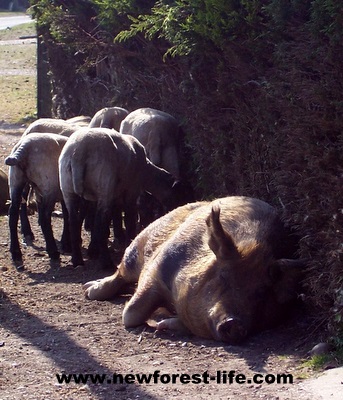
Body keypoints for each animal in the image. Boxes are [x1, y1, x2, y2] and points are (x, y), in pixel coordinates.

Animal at [5, 132, 69, 262]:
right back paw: (53, 252)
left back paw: (16, 252)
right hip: (49, 186)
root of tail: (24, 147)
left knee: (13, 213)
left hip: (16, 181)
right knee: (45, 217)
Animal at [60, 128, 192, 268]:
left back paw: (77, 259)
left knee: (73, 221)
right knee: (100, 223)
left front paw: (93, 249)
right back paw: (106, 263)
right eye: (181, 195)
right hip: (105, 185)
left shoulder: (103, 196)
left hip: (68, 188)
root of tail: (79, 153)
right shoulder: (131, 191)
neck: (147, 171)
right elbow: (129, 220)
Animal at [84, 197, 306, 344]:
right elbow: (131, 314)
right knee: (121, 273)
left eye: (261, 293)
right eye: (223, 276)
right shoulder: (156, 268)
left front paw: (162, 323)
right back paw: (89, 290)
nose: (235, 323)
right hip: (139, 243)